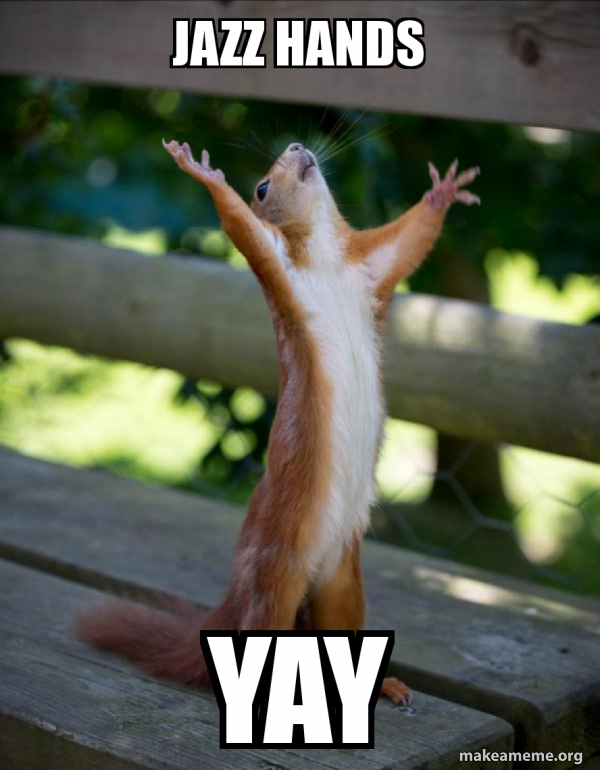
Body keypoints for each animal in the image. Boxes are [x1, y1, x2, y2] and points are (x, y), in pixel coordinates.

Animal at [77, 138, 480, 707]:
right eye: (262, 187)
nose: (296, 146)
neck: (327, 259)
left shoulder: (372, 267)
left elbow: (410, 239)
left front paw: (443, 191)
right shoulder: (277, 265)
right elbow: (240, 226)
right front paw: (203, 173)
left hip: (343, 588)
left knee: (341, 632)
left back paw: (383, 686)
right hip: (274, 579)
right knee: (262, 631)